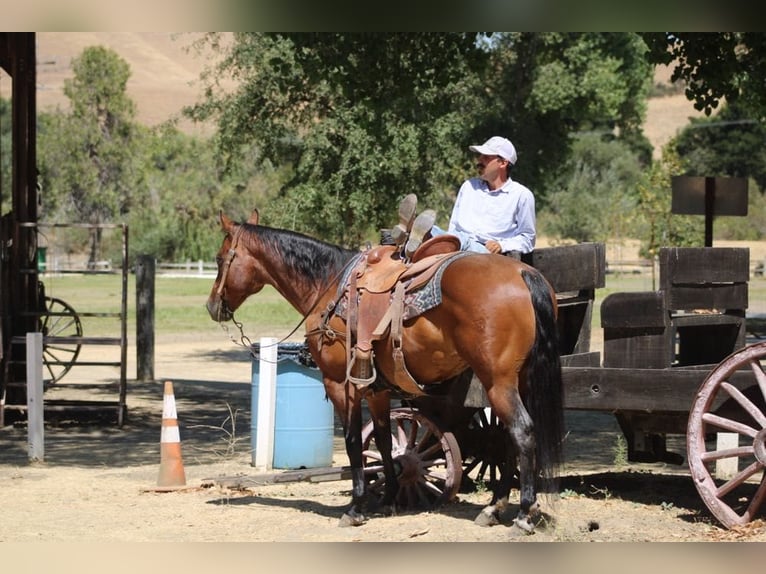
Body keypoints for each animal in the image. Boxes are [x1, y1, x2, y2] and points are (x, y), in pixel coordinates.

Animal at [206, 209, 564, 533]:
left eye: (220, 259)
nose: (212, 306)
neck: (327, 285)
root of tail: (524, 275)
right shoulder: (377, 389)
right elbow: (382, 440)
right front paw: (390, 497)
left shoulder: (341, 384)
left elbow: (353, 441)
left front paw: (356, 507)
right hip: (519, 381)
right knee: (506, 439)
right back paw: (494, 507)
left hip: (497, 382)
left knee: (522, 432)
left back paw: (521, 514)